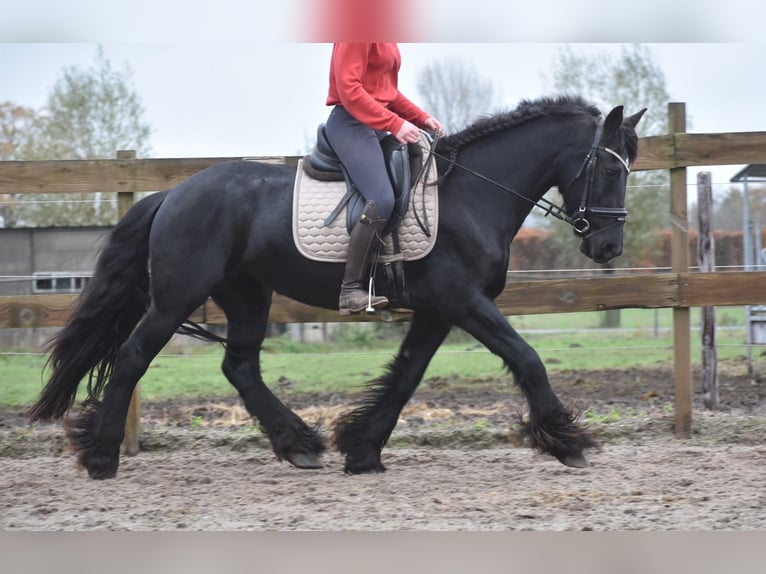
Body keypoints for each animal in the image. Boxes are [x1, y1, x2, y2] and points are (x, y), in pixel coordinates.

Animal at [28, 95, 646, 479]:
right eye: (610, 170)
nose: (608, 248)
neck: (473, 194)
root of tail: (173, 193)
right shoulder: (464, 302)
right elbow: (527, 358)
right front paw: (567, 441)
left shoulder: (439, 310)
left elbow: (406, 377)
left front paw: (363, 449)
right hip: (177, 296)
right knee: (134, 356)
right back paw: (102, 457)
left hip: (246, 295)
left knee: (240, 366)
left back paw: (299, 446)